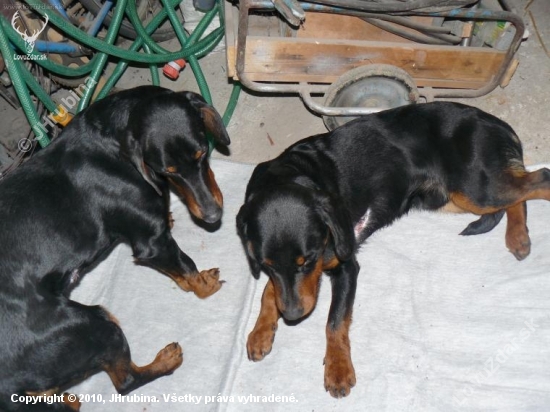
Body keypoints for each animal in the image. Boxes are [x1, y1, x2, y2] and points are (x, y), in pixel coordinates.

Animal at [0, 85, 231, 410]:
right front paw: (204, 285)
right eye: (168, 171)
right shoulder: (152, 243)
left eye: (202, 153)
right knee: (126, 381)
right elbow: (187, 268)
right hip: (95, 325)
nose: (212, 217)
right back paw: (165, 360)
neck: (113, 147)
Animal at [237, 101, 550, 398]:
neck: (290, 175)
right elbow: (270, 292)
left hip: (476, 187)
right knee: (519, 190)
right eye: (266, 265)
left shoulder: (346, 265)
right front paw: (261, 332)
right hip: (453, 197)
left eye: (308, 260)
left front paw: (338, 370)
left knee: (540, 178)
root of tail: (497, 124)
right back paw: (518, 236)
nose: (292, 316)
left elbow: (334, 322)